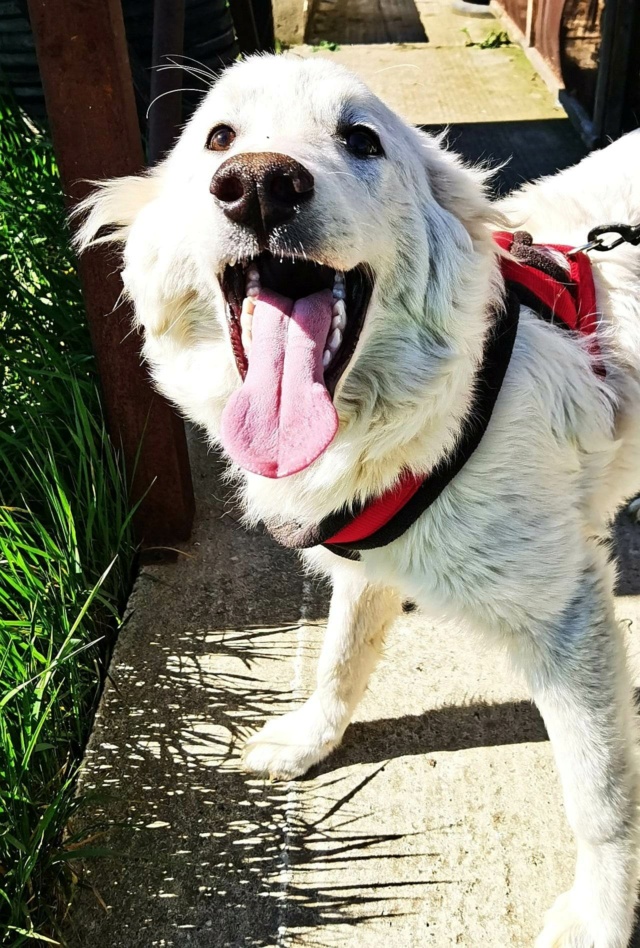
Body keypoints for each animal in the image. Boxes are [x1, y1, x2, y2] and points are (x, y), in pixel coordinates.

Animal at [77, 53, 640, 948]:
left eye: (362, 139)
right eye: (219, 138)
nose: (259, 185)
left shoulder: (568, 615)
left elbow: (602, 795)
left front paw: (597, 916)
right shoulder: (368, 562)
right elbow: (341, 654)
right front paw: (311, 738)